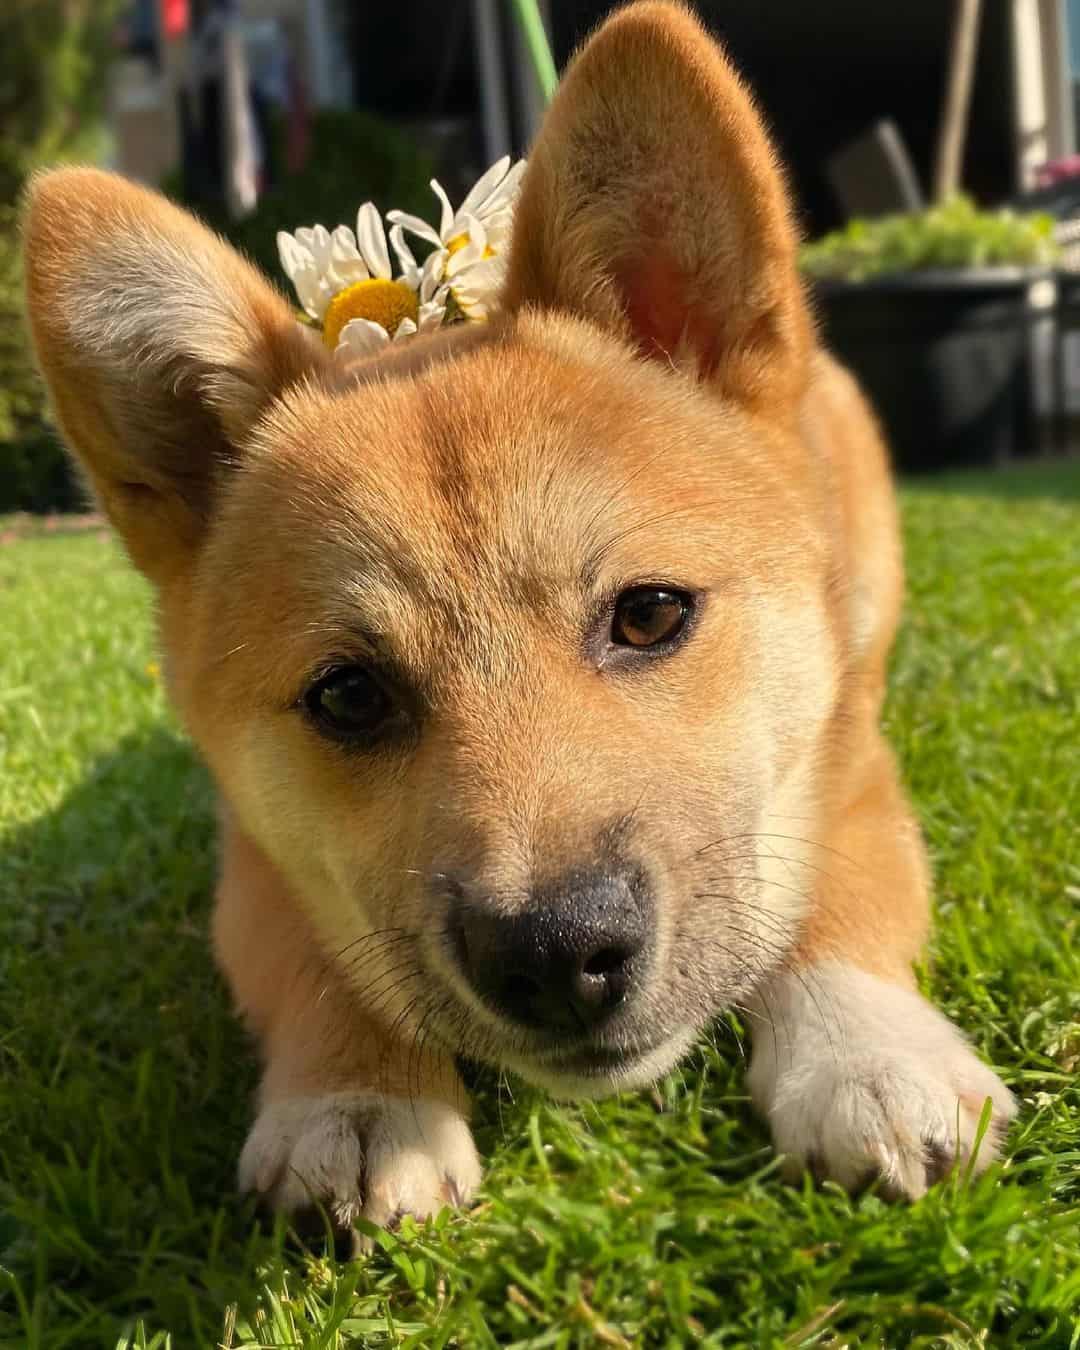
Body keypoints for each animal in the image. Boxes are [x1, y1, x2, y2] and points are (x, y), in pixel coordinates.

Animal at [23, 0, 1015, 1231]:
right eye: (349, 695)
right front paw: (360, 1095)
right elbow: (317, 957)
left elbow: (842, 887)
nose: (556, 956)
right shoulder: (253, 851)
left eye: (650, 614)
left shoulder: (848, 763)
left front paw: (869, 1054)